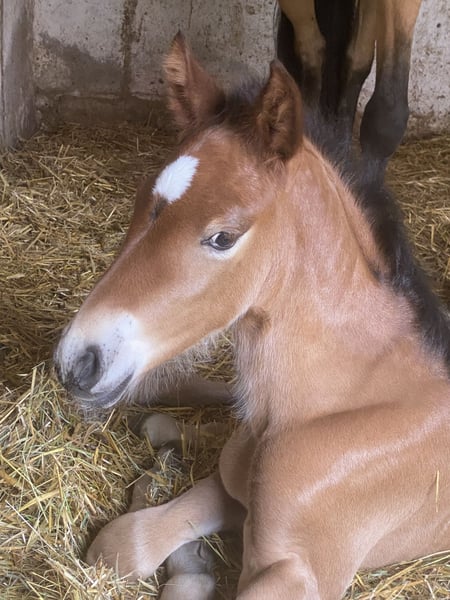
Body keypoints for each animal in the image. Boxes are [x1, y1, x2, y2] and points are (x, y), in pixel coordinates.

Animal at [54, 34, 450, 599]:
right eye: (140, 199)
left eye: (223, 236)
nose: (78, 361)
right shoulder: (229, 481)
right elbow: (120, 545)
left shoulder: (298, 572)